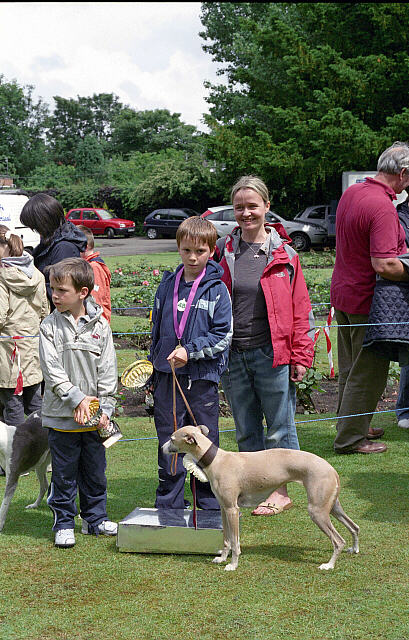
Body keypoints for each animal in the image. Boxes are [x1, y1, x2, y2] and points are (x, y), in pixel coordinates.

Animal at [163, 425, 359, 571]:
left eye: (172, 438)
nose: (162, 448)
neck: (217, 460)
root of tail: (331, 468)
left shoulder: (233, 510)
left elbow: (235, 542)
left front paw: (233, 565)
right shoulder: (224, 509)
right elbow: (226, 539)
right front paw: (222, 558)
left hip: (317, 511)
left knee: (338, 541)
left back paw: (329, 565)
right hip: (331, 506)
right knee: (354, 527)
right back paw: (354, 549)